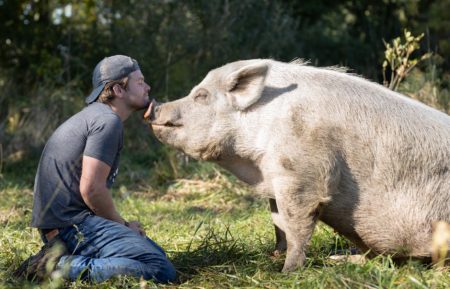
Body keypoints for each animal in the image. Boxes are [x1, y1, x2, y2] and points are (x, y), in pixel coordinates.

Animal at [146, 59, 448, 272]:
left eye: (201, 96)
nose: (155, 106)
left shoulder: (302, 174)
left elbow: (296, 224)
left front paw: (286, 270)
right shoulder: (274, 178)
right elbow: (278, 220)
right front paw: (275, 254)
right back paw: (339, 259)